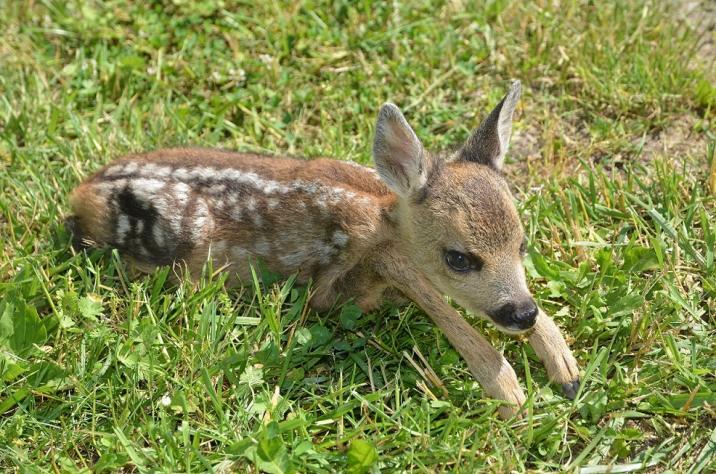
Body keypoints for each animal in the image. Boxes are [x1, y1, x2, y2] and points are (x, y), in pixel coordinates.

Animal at [70, 81, 580, 418]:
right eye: (458, 258)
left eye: (523, 243)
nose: (521, 313)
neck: (384, 215)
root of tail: (82, 194)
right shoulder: (355, 267)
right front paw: (510, 393)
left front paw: (565, 367)